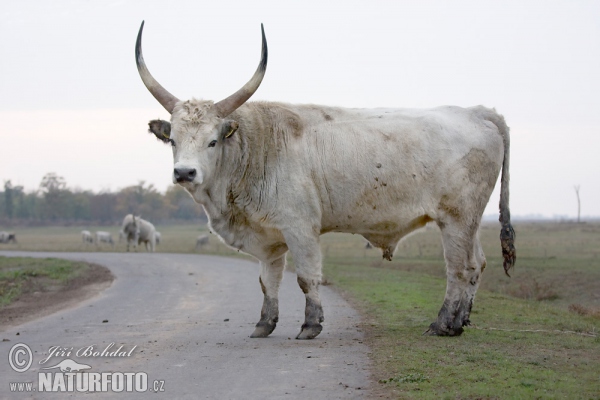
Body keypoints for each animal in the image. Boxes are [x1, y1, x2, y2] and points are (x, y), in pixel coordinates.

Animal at [135, 22, 516, 340]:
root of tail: (478, 112)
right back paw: (461, 320)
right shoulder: (268, 236)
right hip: (468, 221)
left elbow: (306, 277)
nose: (185, 173)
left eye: (212, 141)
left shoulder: (300, 227)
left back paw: (443, 324)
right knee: (478, 263)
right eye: (172, 140)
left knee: (459, 268)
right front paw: (264, 324)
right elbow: (268, 281)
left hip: (456, 218)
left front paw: (310, 325)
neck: (256, 146)